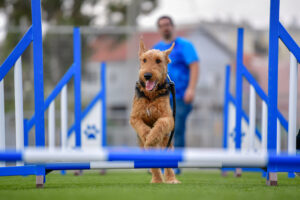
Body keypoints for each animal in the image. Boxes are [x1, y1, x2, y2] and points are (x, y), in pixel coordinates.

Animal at [129, 39, 180, 184]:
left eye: (158, 60)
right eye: (144, 60)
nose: (147, 75)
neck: (151, 94)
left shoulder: (168, 118)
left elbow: (160, 124)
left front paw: (152, 137)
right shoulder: (135, 117)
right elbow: (142, 127)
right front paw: (148, 136)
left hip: (167, 142)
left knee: (168, 165)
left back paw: (171, 179)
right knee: (154, 167)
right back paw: (157, 180)